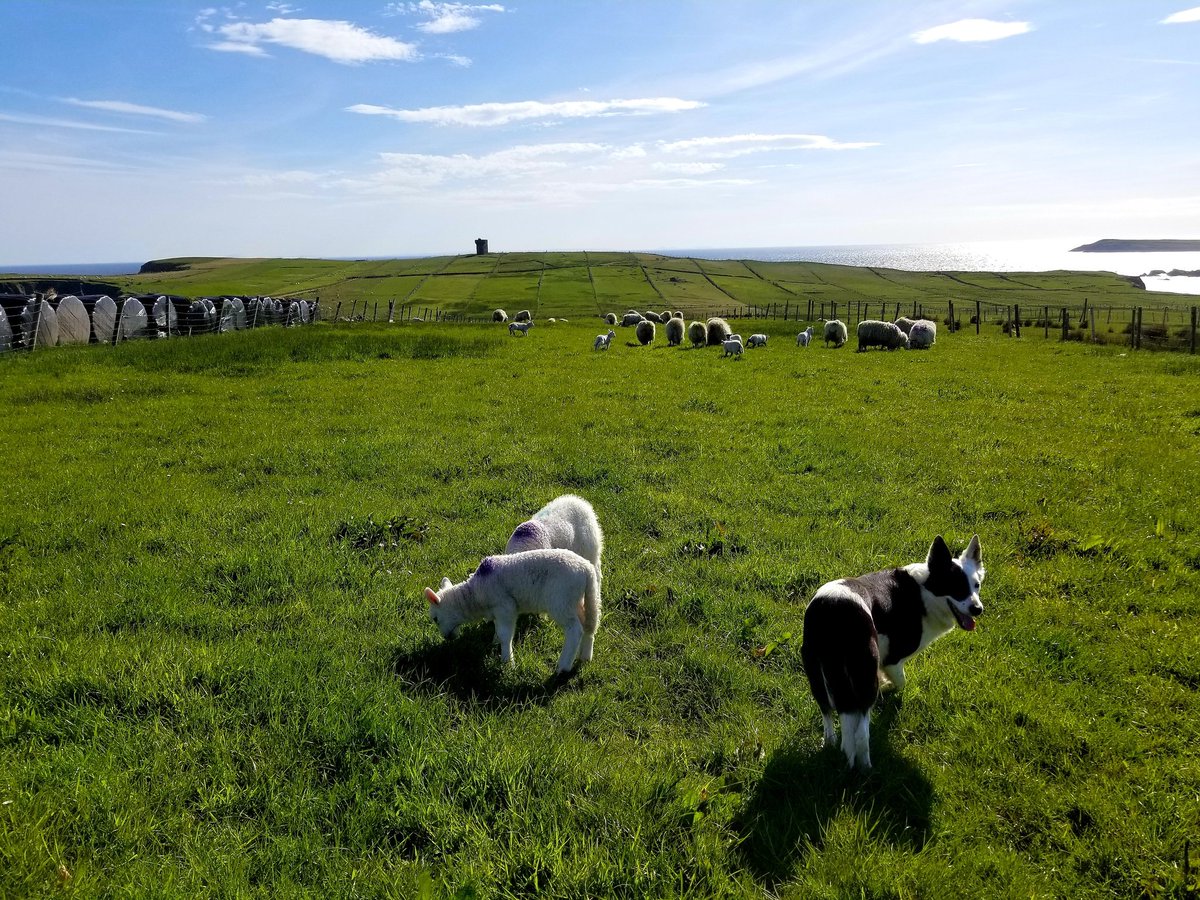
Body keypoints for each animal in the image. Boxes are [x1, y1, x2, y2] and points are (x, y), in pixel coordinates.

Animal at [425, 549, 601, 673]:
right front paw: (495, 642)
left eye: (435, 619)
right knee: (589, 624)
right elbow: (498, 629)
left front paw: (507, 662)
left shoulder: (505, 606)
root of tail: (587, 569)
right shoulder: (497, 610)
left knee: (574, 630)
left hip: (561, 600)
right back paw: (585, 656)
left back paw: (563, 666)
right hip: (579, 600)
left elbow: (505, 635)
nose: (447, 638)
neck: (475, 595)